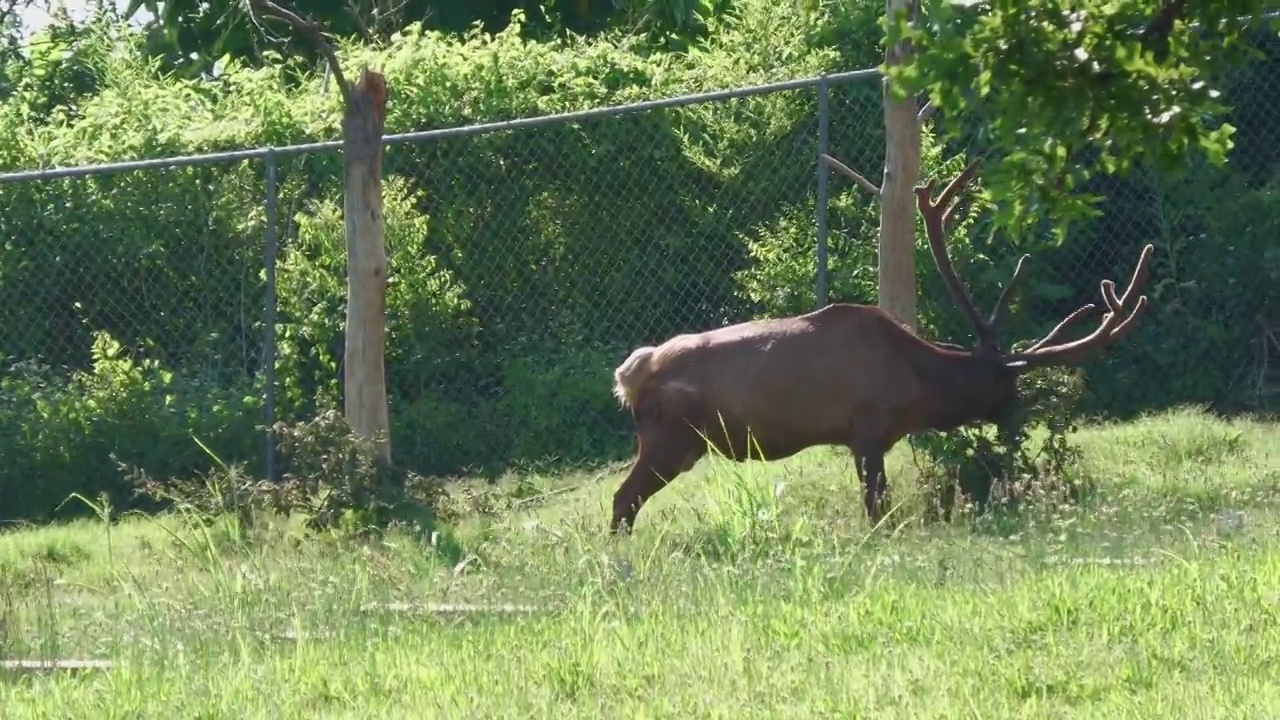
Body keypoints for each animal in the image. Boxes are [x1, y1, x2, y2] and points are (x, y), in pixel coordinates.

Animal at [604, 161, 1157, 532]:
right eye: (1007, 384)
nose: (1017, 419)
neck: (915, 387)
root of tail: (630, 376)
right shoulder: (867, 427)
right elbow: (876, 506)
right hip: (671, 437)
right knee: (622, 499)